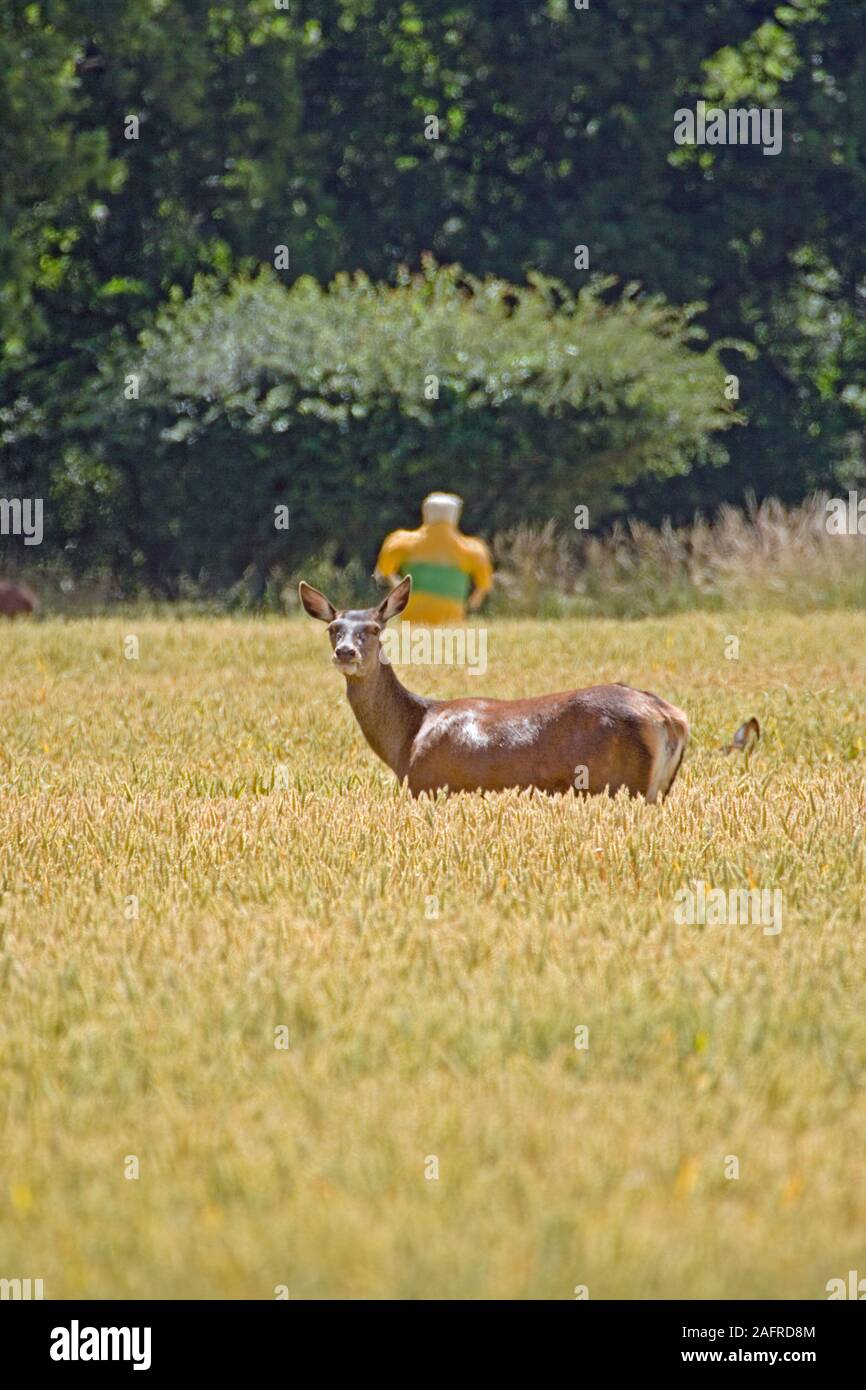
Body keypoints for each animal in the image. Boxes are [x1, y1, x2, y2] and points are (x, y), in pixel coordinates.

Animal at [299, 576, 689, 802]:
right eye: (333, 628)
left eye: (375, 628)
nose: (345, 652)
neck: (407, 739)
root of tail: (670, 718)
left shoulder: (427, 785)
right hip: (657, 789)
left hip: (626, 784)